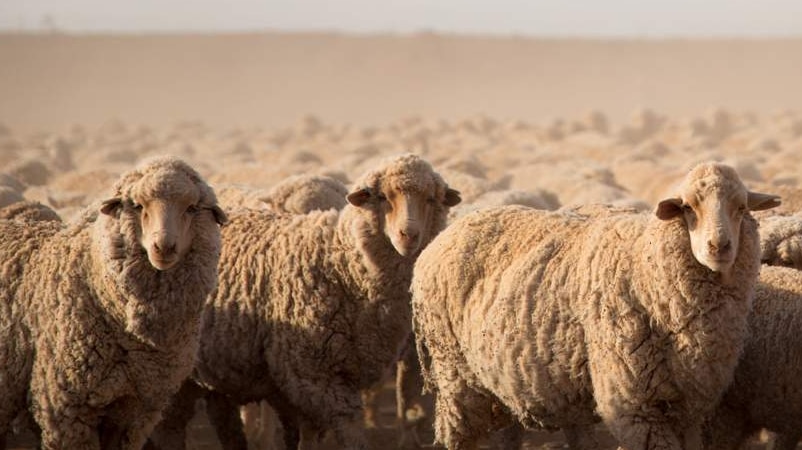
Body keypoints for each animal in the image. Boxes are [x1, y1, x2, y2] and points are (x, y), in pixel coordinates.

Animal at [148, 154, 460, 450]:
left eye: (430, 199)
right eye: (383, 197)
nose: (409, 235)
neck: (342, 263)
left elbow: (309, 434)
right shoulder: (313, 372)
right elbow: (350, 431)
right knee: (171, 426)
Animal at [410, 162, 780, 450]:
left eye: (742, 207)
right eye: (688, 208)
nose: (719, 246)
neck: (644, 268)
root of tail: (445, 235)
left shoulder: (687, 408)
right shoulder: (635, 407)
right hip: (454, 374)